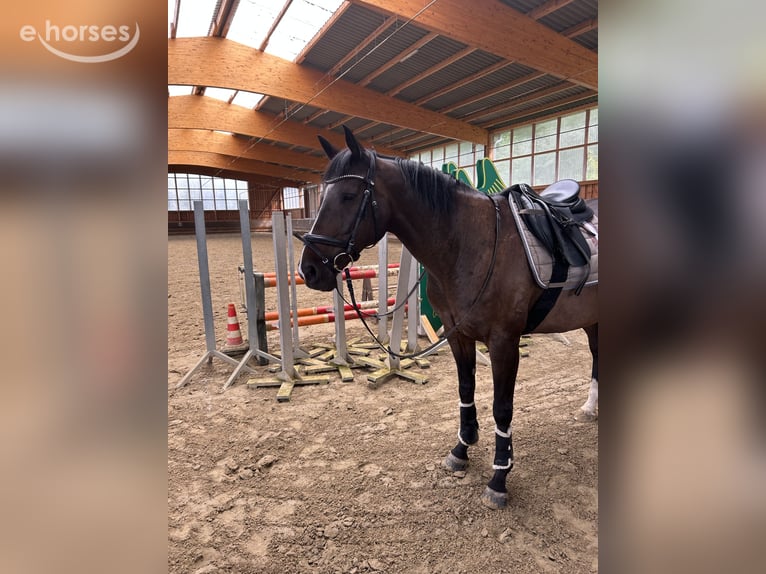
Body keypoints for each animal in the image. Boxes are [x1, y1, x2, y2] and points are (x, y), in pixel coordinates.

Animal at [297, 126, 598, 509]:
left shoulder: (504, 342)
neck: (471, 243)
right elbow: (466, 388)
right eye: (321, 196)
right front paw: (461, 449)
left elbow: (502, 407)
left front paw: (499, 478)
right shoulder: (458, 334)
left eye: (349, 196)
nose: (309, 269)